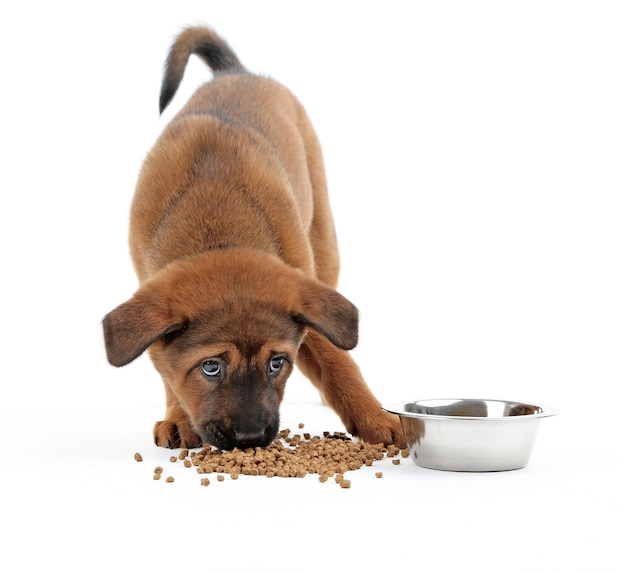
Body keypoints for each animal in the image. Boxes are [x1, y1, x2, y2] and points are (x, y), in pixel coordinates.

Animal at [102, 26, 404, 450]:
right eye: (211, 367)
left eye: (277, 363)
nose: (250, 438)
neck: (218, 229)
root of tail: (235, 72)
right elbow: (169, 374)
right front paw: (179, 418)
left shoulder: (304, 295)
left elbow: (336, 360)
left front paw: (377, 419)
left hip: (324, 241)